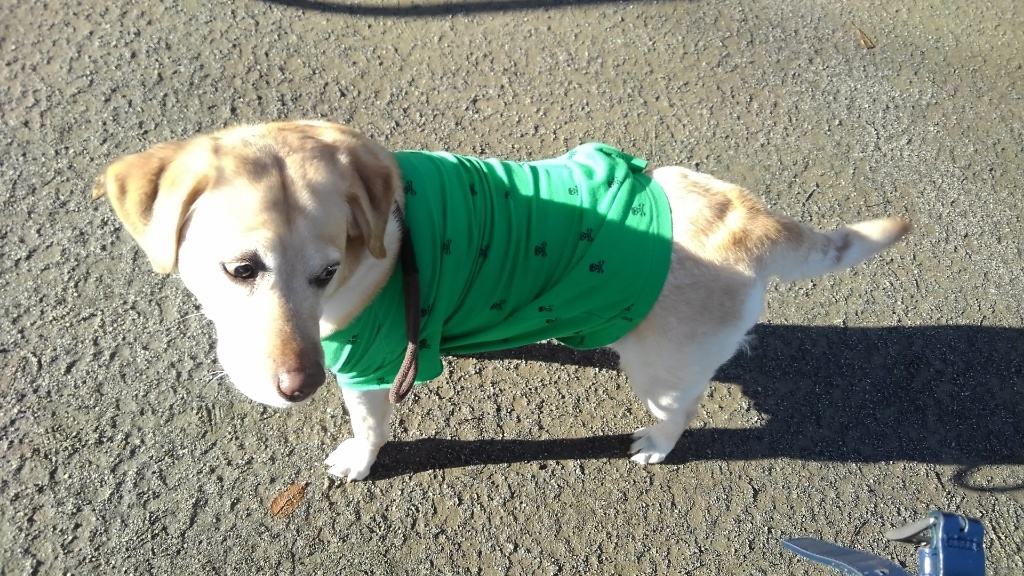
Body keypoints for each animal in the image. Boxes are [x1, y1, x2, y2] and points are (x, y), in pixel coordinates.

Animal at [94, 118, 913, 477]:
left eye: (327, 273)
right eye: (241, 270)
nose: (299, 387)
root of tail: (748, 216)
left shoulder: (370, 364)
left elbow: (368, 426)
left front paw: (357, 459)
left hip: (659, 371)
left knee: (681, 407)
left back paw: (655, 444)